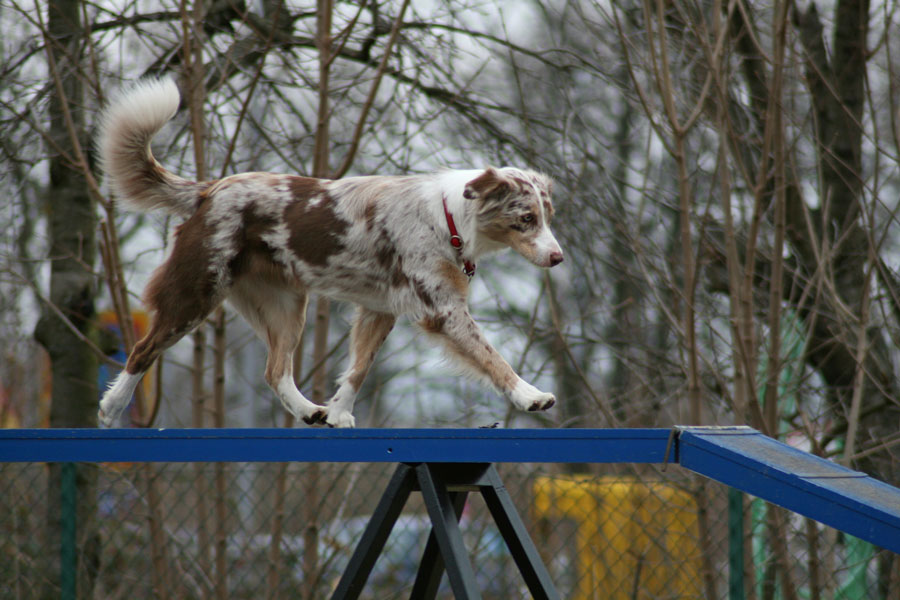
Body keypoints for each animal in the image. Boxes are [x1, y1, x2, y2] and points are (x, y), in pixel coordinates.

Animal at [96, 78, 564, 426]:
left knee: (275, 371)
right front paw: (529, 395)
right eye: (526, 218)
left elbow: (358, 369)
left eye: (548, 215)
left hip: (287, 304)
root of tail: (209, 190)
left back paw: (308, 410)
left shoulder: (380, 309)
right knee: (142, 350)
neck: (449, 220)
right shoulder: (443, 310)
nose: (559, 258)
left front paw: (338, 412)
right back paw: (112, 406)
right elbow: (492, 356)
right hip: (197, 293)